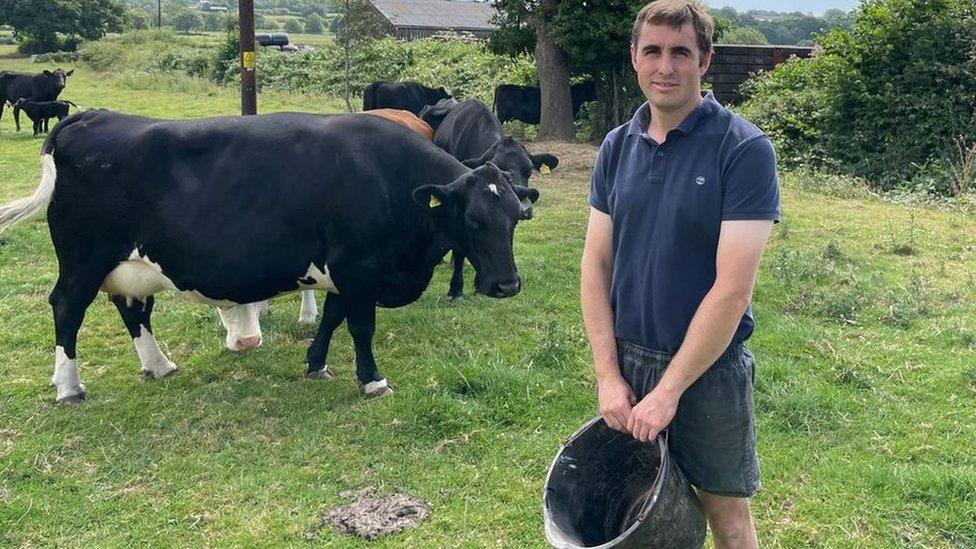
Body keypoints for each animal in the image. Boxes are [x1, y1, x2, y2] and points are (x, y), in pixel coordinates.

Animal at [420, 96, 556, 298]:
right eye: (501, 167)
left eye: (530, 169)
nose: (524, 210)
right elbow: (461, 249)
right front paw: (456, 289)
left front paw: (478, 284)